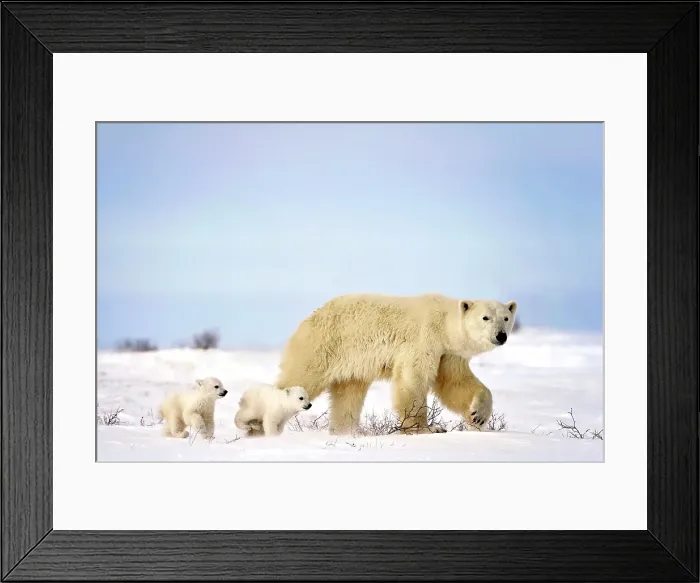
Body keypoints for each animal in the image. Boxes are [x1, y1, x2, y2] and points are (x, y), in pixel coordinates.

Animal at [275, 293, 516, 436]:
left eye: (505, 318)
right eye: (485, 317)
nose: (501, 336)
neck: (444, 325)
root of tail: (307, 319)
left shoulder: (448, 353)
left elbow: (455, 382)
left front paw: (478, 416)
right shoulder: (424, 338)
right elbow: (414, 379)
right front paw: (427, 428)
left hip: (351, 363)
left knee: (349, 393)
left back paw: (350, 432)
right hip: (323, 346)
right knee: (301, 378)